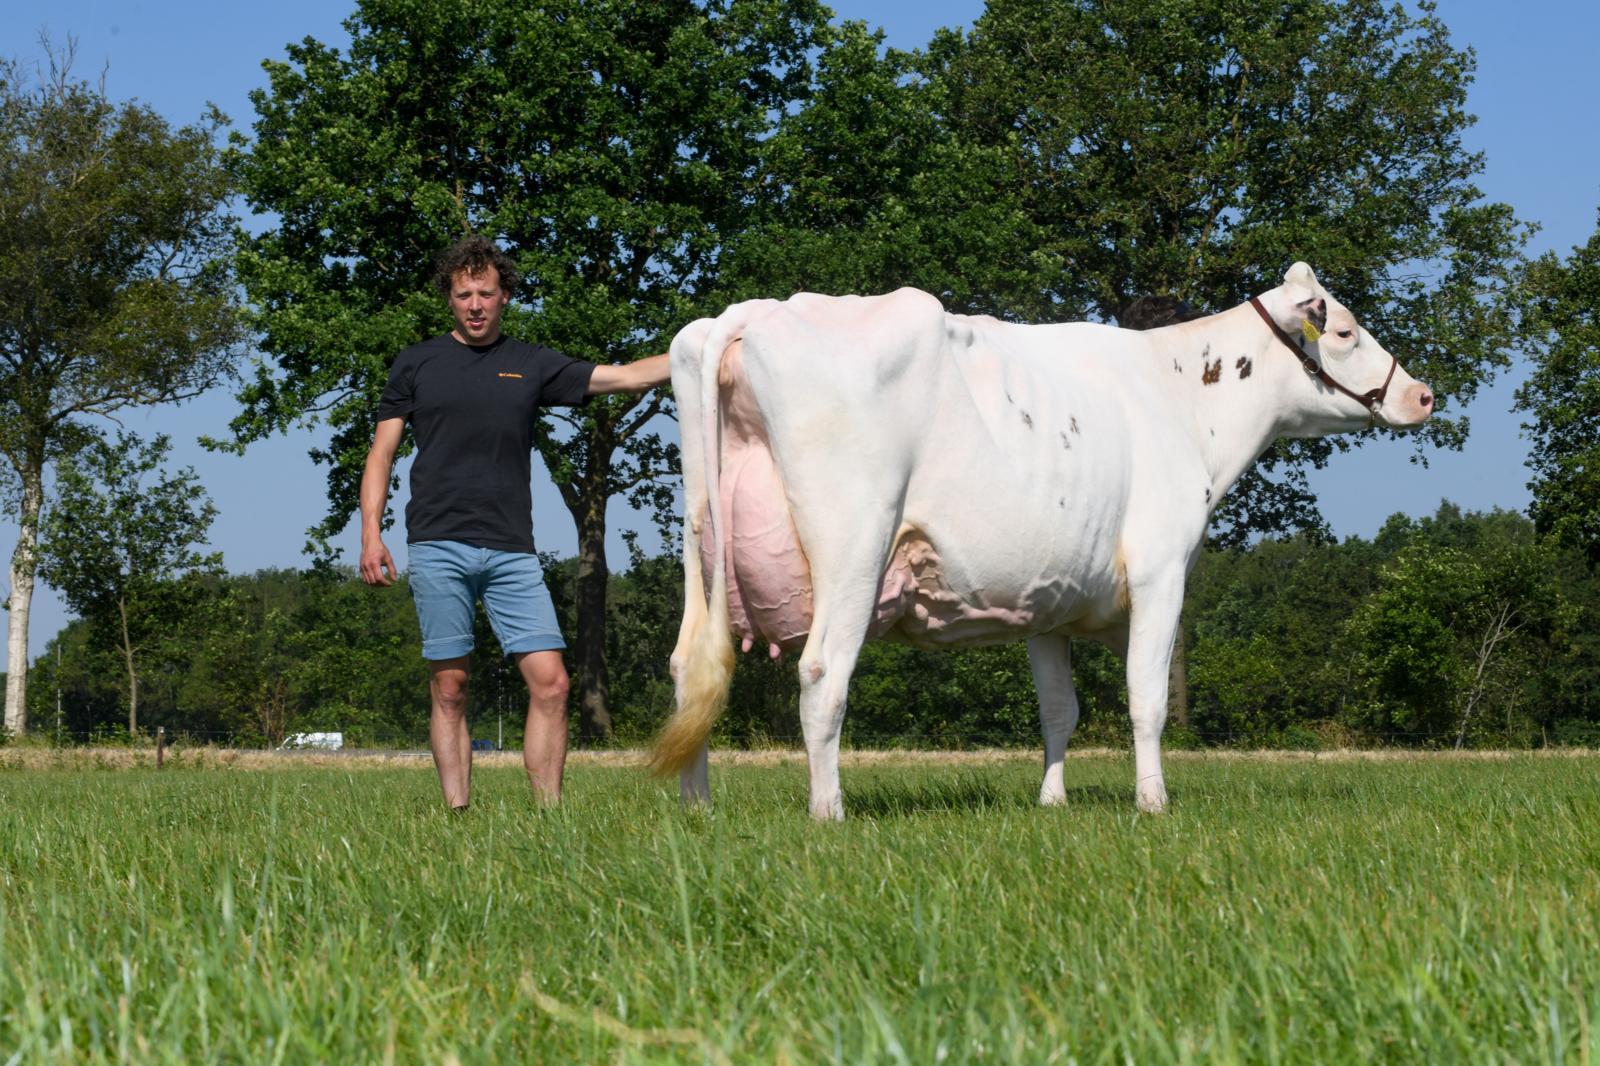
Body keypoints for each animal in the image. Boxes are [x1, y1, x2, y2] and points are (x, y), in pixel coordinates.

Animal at [656, 264, 1433, 813]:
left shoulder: (1050, 600)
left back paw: (699, 809)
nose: (1422, 393)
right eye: (1344, 332)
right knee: (821, 675)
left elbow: (1060, 708)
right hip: (854, 545)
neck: (1177, 399)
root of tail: (760, 309)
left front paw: (1052, 800)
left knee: (693, 667)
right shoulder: (1161, 571)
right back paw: (829, 812)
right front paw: (1153, 803)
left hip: (702, 544)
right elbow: (1146, 695)